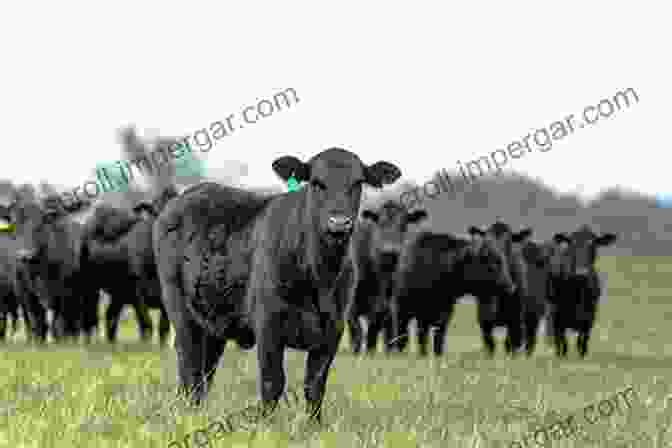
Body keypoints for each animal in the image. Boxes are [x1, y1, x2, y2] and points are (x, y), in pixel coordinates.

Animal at [155, 148, 402, 420]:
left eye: (357, 183)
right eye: (317, 182)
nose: (339, 223)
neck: (319, 278)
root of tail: (182, 198)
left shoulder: (333, 331)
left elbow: (315, 387)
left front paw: (313, 425)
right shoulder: (268, 327)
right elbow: (272, 383)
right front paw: (267, 423)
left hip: (213, 321)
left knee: (204, 372)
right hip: (180, 310)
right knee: (189, 366)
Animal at [346, 201, 426, 356]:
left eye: (404, 223)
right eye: (380, 223)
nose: (390, 252)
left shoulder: (388, 306)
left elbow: (378, 331)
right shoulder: (350, 305)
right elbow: (357, 330)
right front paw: (356, 352)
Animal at [392, 228, 516, 356]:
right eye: (492, 264)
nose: (510, 287)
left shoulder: (444, 314)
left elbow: (438, 340)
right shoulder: (421, 313)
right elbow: (421, 338)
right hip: (402, 309)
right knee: (402, 334)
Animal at [468, 221, 532, 356]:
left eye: (508, 241)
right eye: (486, 242)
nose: (492, 258)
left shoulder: (516, 320)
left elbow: (513, 344)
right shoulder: (484, 319)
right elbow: (490, 345)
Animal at [544, 226, 616, 358]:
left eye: (593, 243)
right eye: (572, 243)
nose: (581, 272)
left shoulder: (590, 316)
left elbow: (583, 339)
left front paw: (582, 354)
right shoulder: (557, 316)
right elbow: (562, 340)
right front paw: (562, 355)